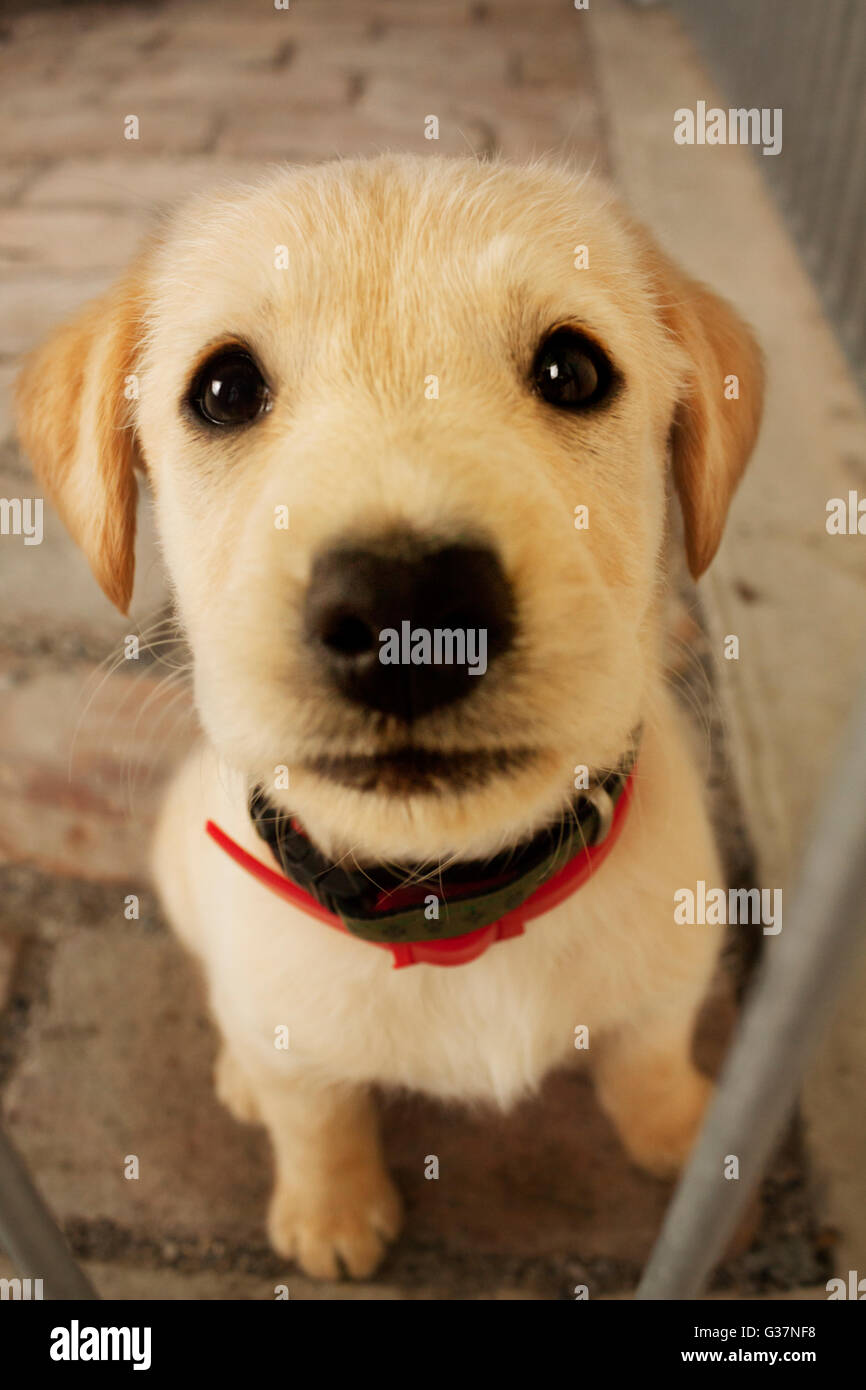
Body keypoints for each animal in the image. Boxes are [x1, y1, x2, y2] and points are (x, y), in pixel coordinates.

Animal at [15, 154, 767, 1278]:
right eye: (224, 389)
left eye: (573, 372)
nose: (407, 618)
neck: (452, 899)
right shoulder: (287, 1030)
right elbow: (315, 1115)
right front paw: (330, 1213)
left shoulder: (671, 970)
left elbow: (652, 1058)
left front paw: (686, 1140)